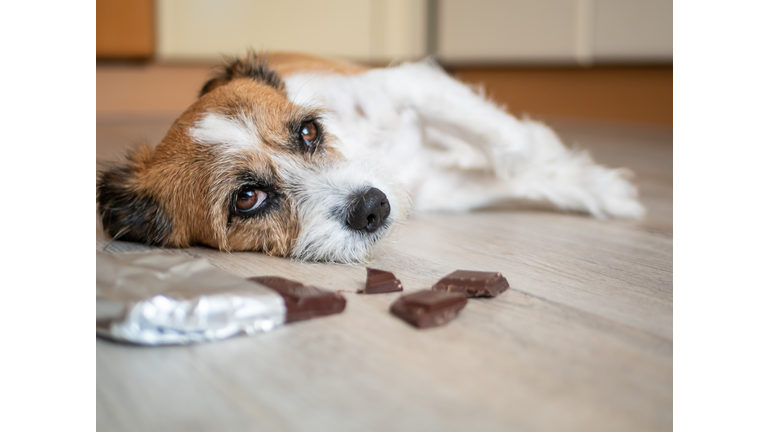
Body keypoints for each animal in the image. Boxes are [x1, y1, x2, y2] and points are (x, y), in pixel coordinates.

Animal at [99, 54, 644, 264]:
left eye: (308, 131)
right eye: (247, 198)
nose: (373, 207)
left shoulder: (410, 84)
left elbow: (513, 147)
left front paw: (599, 186)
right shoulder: (441, 190)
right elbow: (512, 172)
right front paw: (595, 186)